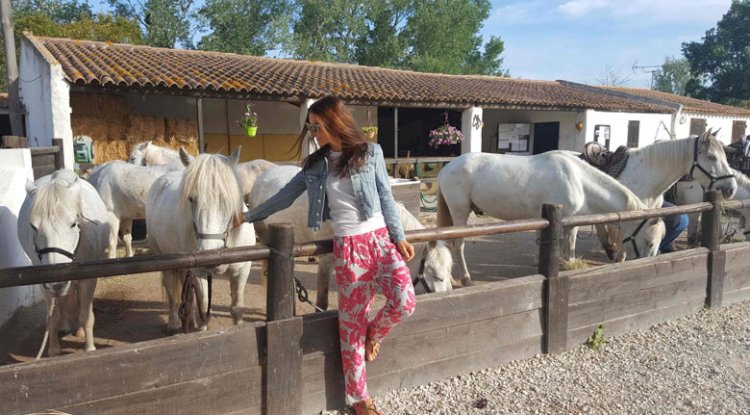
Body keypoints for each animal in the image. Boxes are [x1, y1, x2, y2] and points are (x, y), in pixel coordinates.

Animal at [16, 171, 111, 356]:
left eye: (73, 223)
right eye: (33, 226)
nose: (57, 282)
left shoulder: (88, 279)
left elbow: (85, 315)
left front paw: (89, 348)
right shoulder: (43, 283)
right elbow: (52, 317)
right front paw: (53, 351)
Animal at [145, 148, 258, 334]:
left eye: (227, 199)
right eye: (191, 199)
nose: (209, 253)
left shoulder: (242, 269)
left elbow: (237, 308)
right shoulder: (199, 271)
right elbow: (205, 308)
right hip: (165, 259)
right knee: (171, 289)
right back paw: (174, 323)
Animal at [250, 164, 456, 310]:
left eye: (449, 275)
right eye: (438, 277)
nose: (448, 300)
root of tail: (263, 177)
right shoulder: (326, 262)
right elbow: (322, 303)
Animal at [438, 152, 668, 286]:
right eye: (650, 242)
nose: (651, 268)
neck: (579, 180)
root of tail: (447, 168)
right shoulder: (567, 222)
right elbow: (569, 247)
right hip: (459, 212)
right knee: (458, 244)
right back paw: (467, 279)